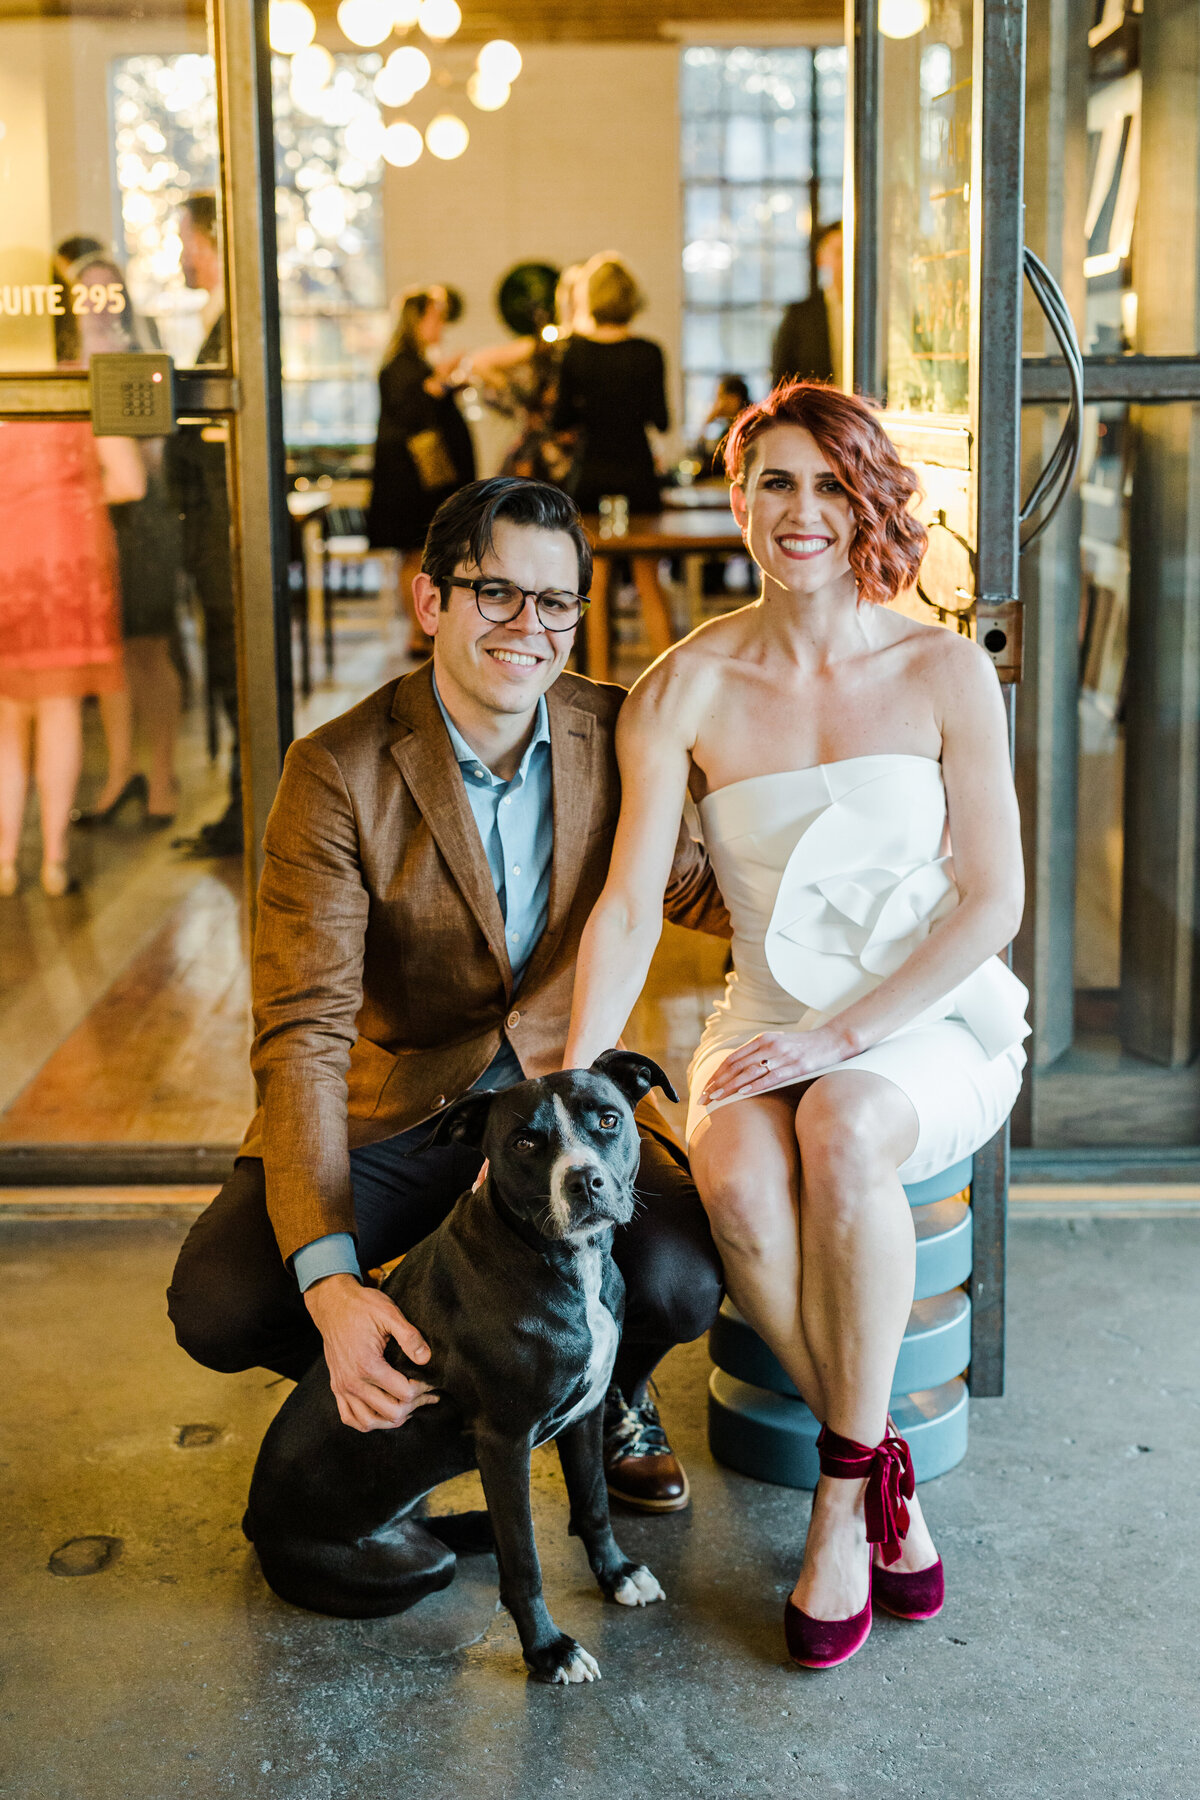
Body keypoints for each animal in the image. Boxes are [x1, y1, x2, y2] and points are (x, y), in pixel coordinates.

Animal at [244, 1051, 676, 1684]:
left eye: (608, 1120)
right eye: (524, 1141)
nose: (584, 1180)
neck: (561, 1260)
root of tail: (254, 1522)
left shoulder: (586, 1414)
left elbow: (594, 1504)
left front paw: (617, 1574)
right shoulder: (504, 1442)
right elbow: (524, 1561)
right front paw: (548, 1650)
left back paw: (476, 1526)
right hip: (413, 1566)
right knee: (450, 1552)